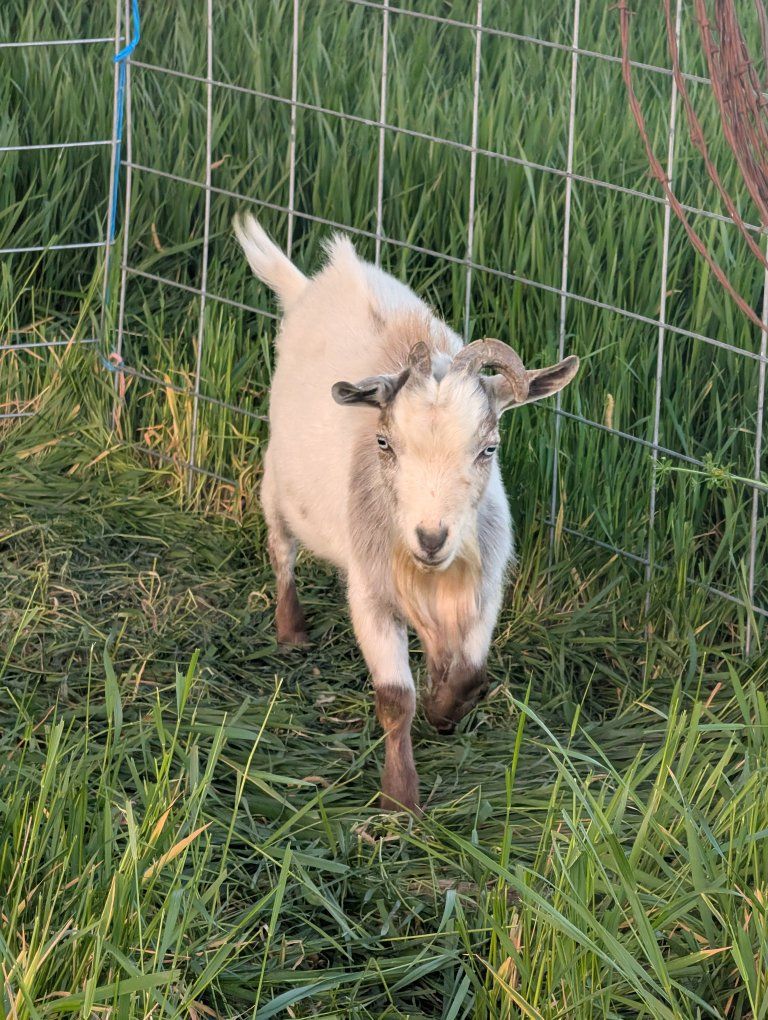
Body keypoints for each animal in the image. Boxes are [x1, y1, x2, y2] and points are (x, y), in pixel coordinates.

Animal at [233, 212, 579, 811]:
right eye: (384, 443)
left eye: (489, 448)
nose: (431, 537)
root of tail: (312, 286)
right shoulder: (371, 594)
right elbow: (396, 698)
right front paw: (400, 799)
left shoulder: (485, 586)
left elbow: (470, 672)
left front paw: (445, 710)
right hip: (276, 484)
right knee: (281, 549)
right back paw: (291, 629)